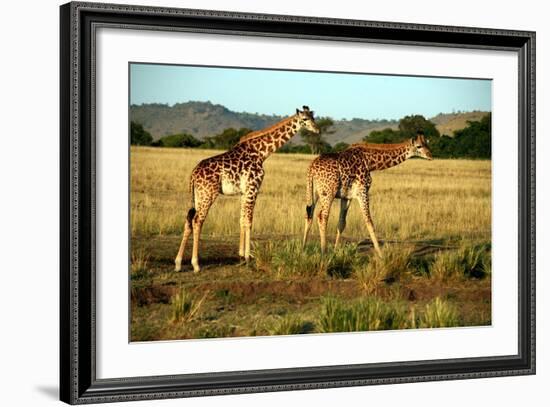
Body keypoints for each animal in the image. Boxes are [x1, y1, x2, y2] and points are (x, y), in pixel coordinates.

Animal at [175, 107, 322, 274]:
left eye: (313, 117)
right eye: (304, 119)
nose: (318, 130)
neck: (261, 152)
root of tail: (193, 175)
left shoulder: (244, 192)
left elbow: (241, 219)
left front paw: (241, 255)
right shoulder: (253, 187)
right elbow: (249, 220)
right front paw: (247, 257)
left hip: (198, 196)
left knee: (188, 220)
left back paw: (178, 263)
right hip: (208, 194)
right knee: (197, 220)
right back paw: (196, 264)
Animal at [304, 132, 434, 256]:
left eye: (427, 144)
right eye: (419, 146)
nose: (430, 155)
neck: (370, 162)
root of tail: (311, 168)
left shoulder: (347, 196)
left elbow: (341, 223)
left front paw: (335, 251)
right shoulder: (363, 191)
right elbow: (369, 222)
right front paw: (381, 255)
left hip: (313, 192)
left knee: (309, 215)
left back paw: (303, 248)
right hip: (328, 193)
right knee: (322, 217)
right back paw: (323, 252)